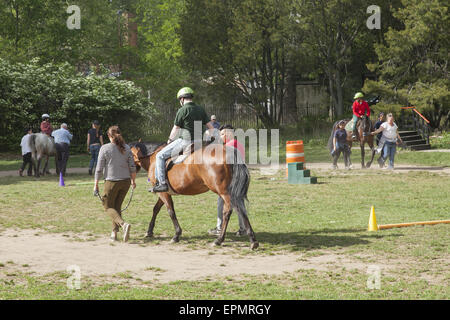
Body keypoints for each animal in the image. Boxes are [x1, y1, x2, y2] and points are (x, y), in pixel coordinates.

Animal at [128, 141, 258, 249]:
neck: (153, 158)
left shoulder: (163, 193)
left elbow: (171, 211)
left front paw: (176, 235)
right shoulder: (164, 194)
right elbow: (156, 209)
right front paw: (149, 231)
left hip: (224, 193)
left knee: (229, 212)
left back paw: (220, 240)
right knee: (240, 210)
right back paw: (252, 240)